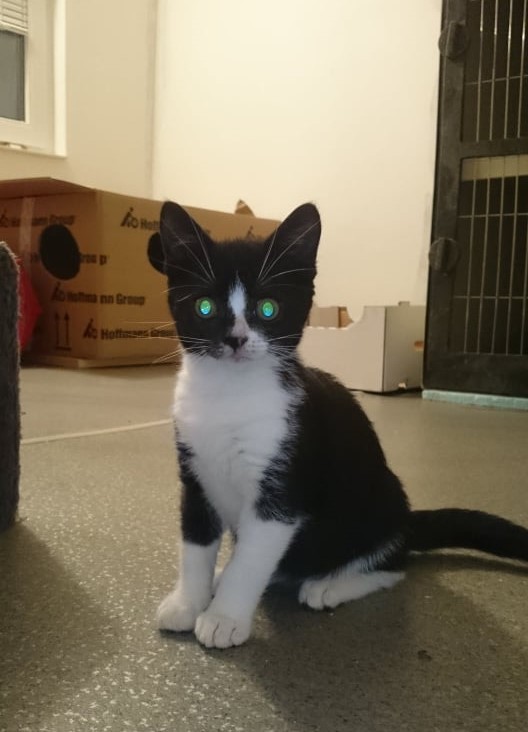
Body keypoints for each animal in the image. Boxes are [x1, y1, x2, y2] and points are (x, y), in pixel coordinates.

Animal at [150, 200, 528, 649]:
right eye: (205, 307)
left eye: (268, 308)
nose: (236, 340)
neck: (228, 396)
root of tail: (406, 522)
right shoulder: (194, 475)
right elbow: (195, 544)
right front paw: (187, 602)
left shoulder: (285, 487)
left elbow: (253, 559)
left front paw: (224, 617)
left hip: (381, 498)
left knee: (393, 563)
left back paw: (330, 585)